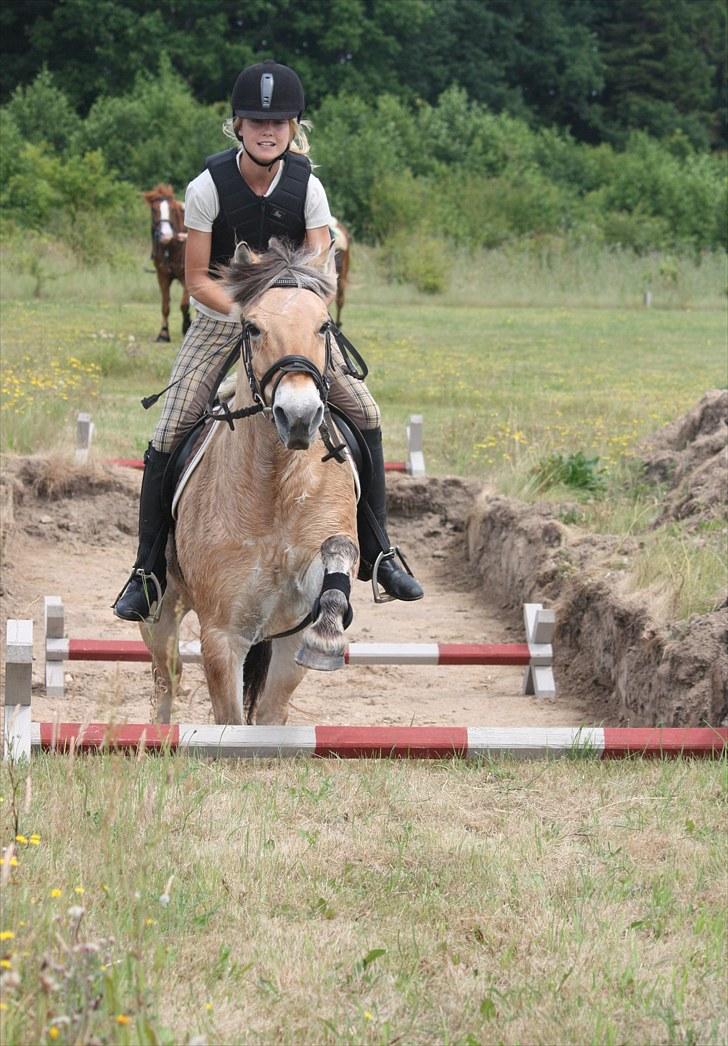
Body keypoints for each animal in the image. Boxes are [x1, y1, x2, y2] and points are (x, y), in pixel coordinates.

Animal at [142, 182, 190, 340]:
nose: (166, 235)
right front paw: (163, 332)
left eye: (172, 209)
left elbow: (184, 304)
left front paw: (186, 326)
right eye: (154, 209)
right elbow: (165, 305)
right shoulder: (162, 275)